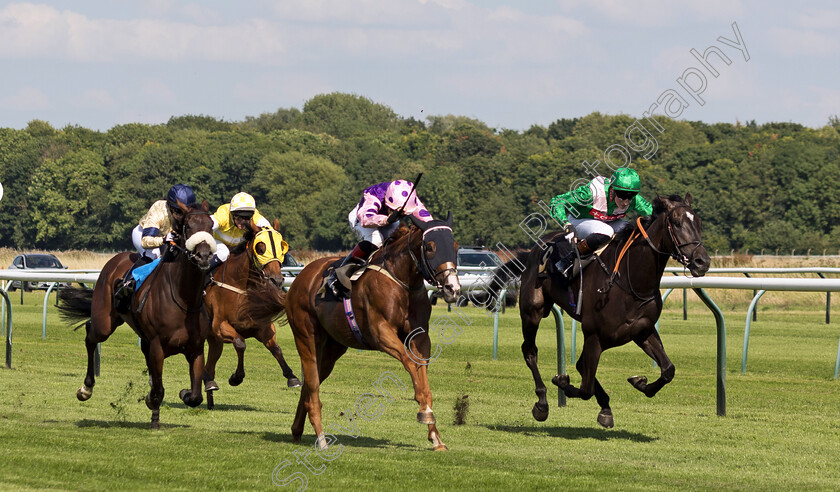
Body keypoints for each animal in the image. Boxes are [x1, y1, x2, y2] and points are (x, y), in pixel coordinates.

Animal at [57, 198, 217, 428]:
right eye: (188, 226)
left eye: (210, 226)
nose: (204, 255)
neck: (184, 299)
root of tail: (115, 259)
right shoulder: (158, 346)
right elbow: (159, 389)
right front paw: (154, 417)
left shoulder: (195, 348)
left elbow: (195, 396)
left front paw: (184, 393)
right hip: (105, 322)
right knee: (90, 335)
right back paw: (86, 388)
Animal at [203, 218, 302, 408]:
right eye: (260, 247)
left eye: (281, 247)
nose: (277, 280)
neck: (240, 286)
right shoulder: (220, 326)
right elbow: (240, 343)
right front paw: (236, 377)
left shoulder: (262, 327)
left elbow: (276, 348)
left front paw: (292, 377)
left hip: (213, 340)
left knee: (209, 365)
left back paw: (209, 385)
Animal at [243, 213, 460, 452]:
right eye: (430, 247)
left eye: (455, 247)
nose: (452, 288)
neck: (401, 280)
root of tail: (297, 281)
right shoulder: (380, 333)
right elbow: (411, 364)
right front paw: (425, 413)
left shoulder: (420, 337)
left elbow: (421, 371)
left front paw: (435, 435)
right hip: (306, 337)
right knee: (312, 384)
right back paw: (321, 438)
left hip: (333, 348)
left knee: (310, 384)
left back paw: (297, 430)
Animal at [486, 194, 708, 428]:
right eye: (677, 222)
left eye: (699, 223)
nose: (702, 261)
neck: (630, 280)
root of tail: (534, 249)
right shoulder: (594, 335)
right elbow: (585, 388)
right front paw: (561, 381)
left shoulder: (642, 331)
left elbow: (668, 370)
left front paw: (639, 383)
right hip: (532, 311)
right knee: (530, 351)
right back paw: (542, 403)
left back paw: (604, 406)